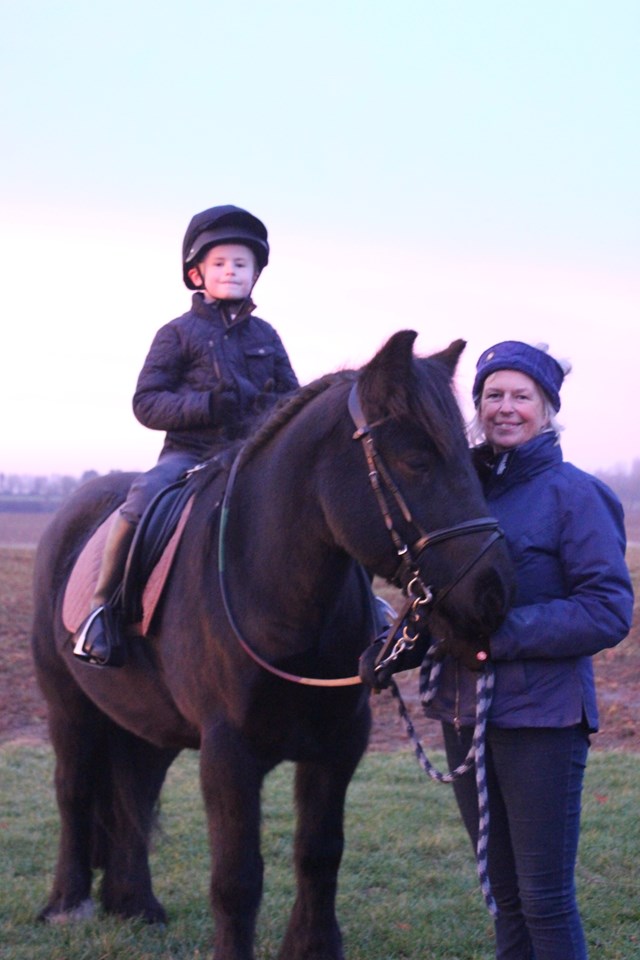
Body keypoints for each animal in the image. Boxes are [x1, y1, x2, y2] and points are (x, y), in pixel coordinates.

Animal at [31, 332, 516, 960]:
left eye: (475, 460)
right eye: (416, 460)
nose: (494, 591)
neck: (278, 594)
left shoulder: (339, 746)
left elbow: (319, 854)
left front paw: (313, 947)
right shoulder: (228, 754)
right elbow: (237, 878)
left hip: (150, 722)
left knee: (134, 789)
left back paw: (134, 902)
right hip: (67, 705)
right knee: (72, 791)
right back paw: (67, 905)